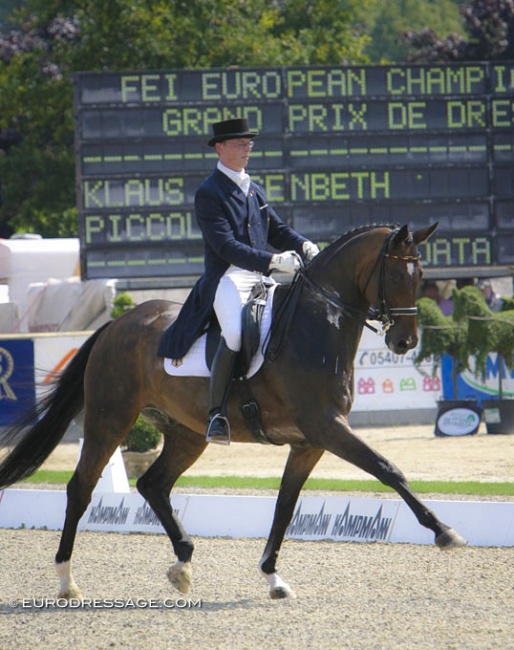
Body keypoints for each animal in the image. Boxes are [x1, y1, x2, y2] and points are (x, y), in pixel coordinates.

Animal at [0, 223, 464, 596]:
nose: (404, 342)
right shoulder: (327, 427)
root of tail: (116, 324)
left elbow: (285, 506)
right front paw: (444, 531)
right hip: (108, 420)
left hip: (187, 433)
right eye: (396, 274)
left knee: (153, 484)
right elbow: (388, 469)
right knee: (81, 488)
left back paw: (183, 562)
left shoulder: (309, 442)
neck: (317, 325)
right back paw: (66, 580)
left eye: (421, 275)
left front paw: (273, 577)